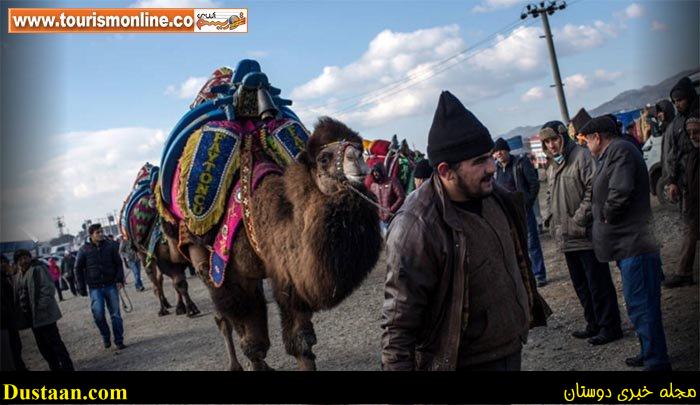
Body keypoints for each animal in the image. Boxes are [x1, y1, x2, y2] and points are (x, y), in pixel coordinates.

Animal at [165, 117, 382, 370]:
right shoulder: (234, 276)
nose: (357, 157)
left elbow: (301, 342)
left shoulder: (287, 275)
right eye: (323, 158)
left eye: (358, 145)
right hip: (200, 256)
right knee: (222, 316)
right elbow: (253, 343)